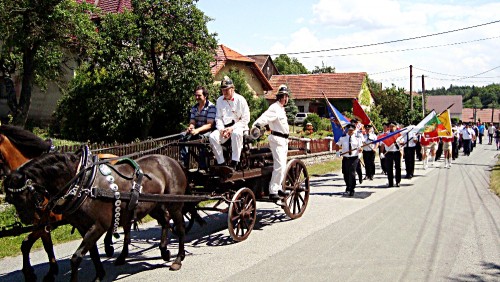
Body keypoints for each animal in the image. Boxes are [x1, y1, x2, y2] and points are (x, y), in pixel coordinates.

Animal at [4, 151, 188, 280]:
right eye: (11, 199)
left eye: (22, 196)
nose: (27, 219)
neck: (83, 184)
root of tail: (172, 161)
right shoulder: (83, 227)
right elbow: (91, 253)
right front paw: (99, 274)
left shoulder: (99, 225)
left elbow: (76, 258)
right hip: (153, 205)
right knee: (165, 220)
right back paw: (163, 250)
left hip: (175, 204)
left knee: (179, 228)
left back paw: (178, 259)